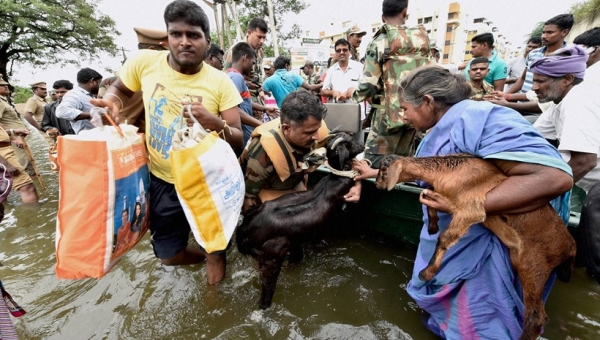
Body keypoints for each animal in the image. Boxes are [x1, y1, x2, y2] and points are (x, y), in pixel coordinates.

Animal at [237, 131, 364, 310]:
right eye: (350, 143)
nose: (363, 146)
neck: (335, 179)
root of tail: (243, 232)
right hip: (271, 259)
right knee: (267, 291)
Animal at [376, 155, 576, 340]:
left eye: (383, 171)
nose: (377, 184)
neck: (450, 170)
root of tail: (571, 248)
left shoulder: (471, 209)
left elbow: (445, 238)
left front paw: (426, 273)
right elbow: (426, 194)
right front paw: (432, 226)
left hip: (534, 265)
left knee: (536, 316)